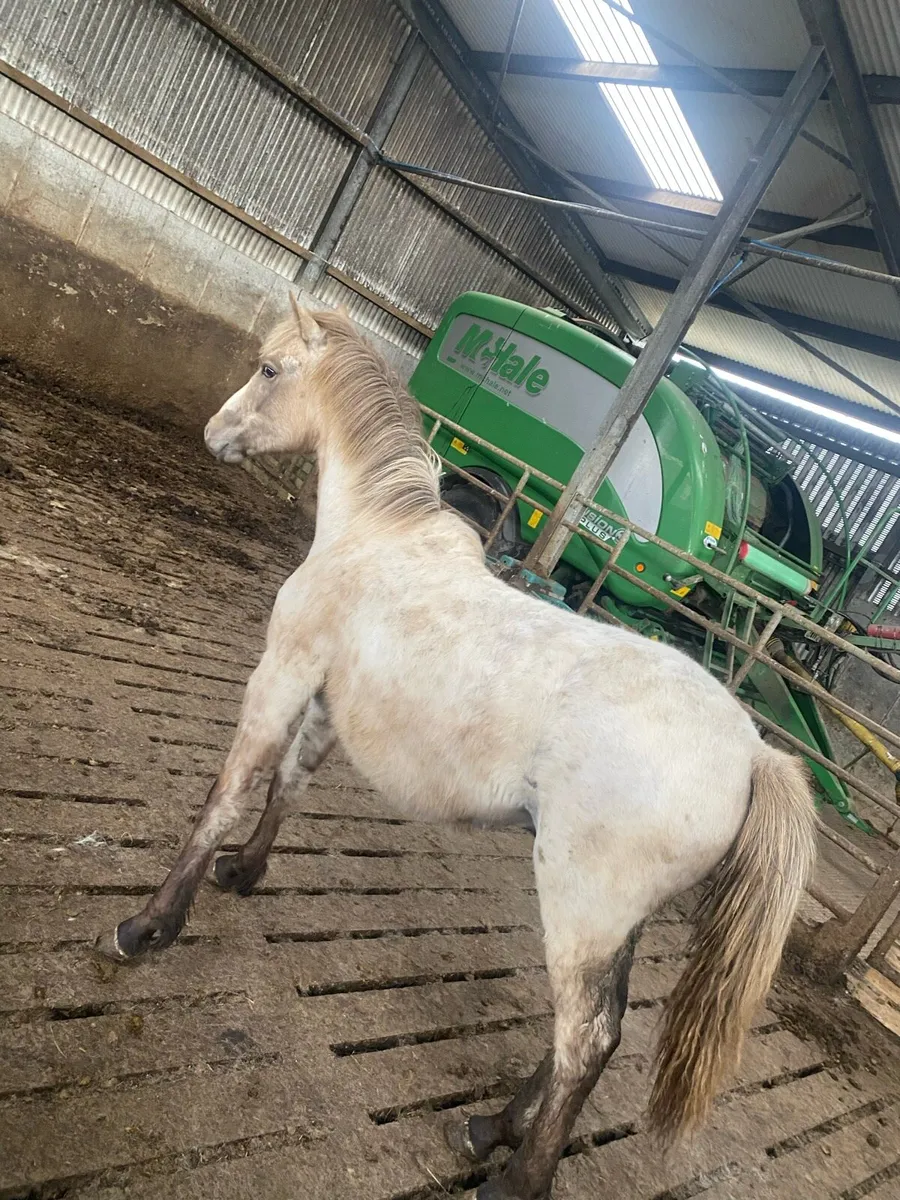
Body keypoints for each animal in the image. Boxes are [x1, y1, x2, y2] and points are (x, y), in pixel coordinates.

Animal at [95, 299, 817, 1200]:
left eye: (270, 369)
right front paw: (245, 872)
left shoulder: (281, 677)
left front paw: (148, 927)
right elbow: (289, 786)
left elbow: (228, 795)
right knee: (598, 1027)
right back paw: (489, 1129)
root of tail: (752, 754)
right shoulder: (325, 701)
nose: (215, 432)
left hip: (581, 907)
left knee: (585, 1039)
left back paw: (517, 1177)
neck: (377, 535)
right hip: (620, 922)